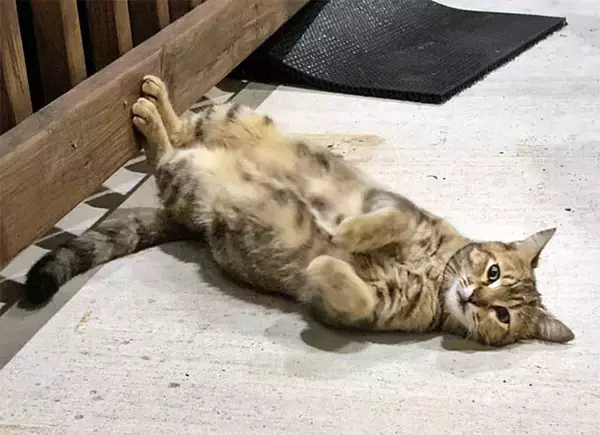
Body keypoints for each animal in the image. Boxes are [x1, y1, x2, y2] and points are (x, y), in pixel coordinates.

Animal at [24, 75, 574, 347]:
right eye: (493, 270)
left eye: (502, 315)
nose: (475, 298)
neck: (434, 273)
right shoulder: (397, 205)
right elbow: (384, 220)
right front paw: (348, 234)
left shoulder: (363, 313)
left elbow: (347, 289)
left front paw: (329, 259)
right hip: (235, 117)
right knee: (182, 131)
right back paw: (154, 101)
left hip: (188, 180)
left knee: (166, 155)